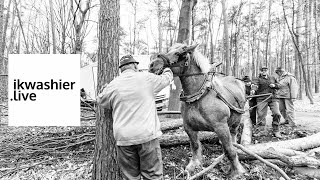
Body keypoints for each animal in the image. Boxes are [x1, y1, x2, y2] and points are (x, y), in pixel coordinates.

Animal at [150, 43, 248, 178]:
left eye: (178, 53)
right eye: (169, 49)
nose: (152, 65)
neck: (199, 96)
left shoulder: (221, 127)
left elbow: (230, 150)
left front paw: (237, 172)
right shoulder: (189, 127)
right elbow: (195, 146)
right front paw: (193, 166)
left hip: (235, 121)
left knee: (233, 138)